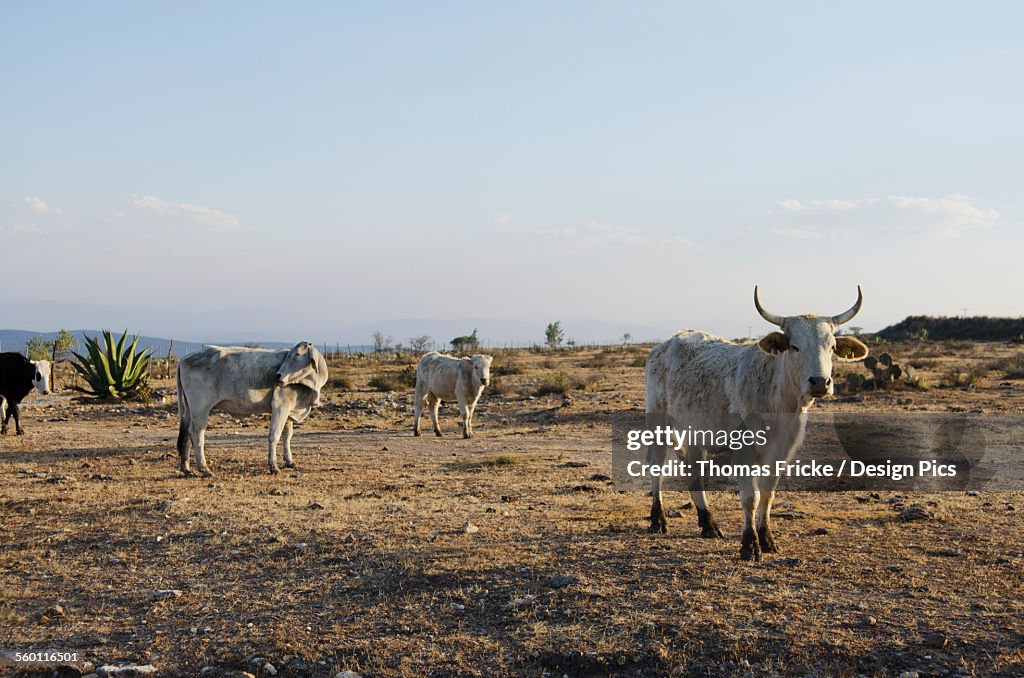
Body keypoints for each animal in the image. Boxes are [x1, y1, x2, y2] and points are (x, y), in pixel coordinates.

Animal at [176, 342, 329, 476]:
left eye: (297, 354)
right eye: (290, 354)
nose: (278, 375)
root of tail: (184, 358)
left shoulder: (289, 409)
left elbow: (287, 435)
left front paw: (289, 461)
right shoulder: (280, 406)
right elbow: (275, 435)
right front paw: (273, 466)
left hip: (189, 409)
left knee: (186, 435)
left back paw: (187, 469)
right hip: (200, 408)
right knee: (196, 434)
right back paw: (204, 469)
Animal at [645, 287, 868, 560]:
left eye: (832, 346)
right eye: (794, 347)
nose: (819, 382)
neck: (778, 402)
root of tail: (667, 343)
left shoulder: (782, 451)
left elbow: (768, 494)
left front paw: (766, 538)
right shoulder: (743, 450)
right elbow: (751, 496)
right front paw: (749, 544)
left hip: (695, 433)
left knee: (693, 470)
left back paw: (708, 523)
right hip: (659, 423)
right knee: (657, 467)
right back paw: (658, 519)